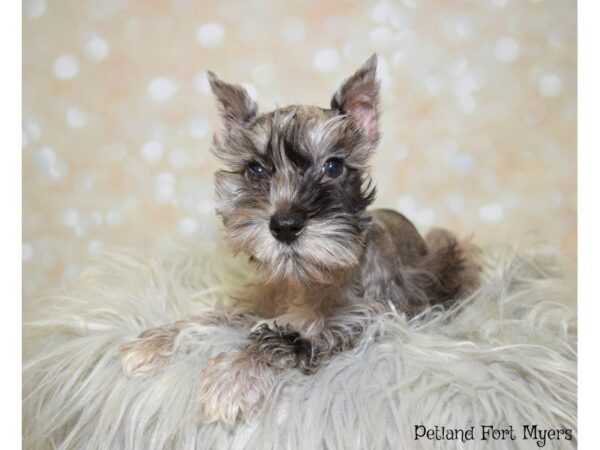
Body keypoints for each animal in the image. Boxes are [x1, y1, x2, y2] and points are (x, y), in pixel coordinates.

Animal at [119, 53, 480, 426]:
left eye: (333, 166)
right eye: (255, 169)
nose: (285, 226)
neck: (302, 280)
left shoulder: (358, 322)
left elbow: (286, 339)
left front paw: (233, 375)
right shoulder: (255, 303)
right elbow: (211, 316)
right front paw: (155, 340)